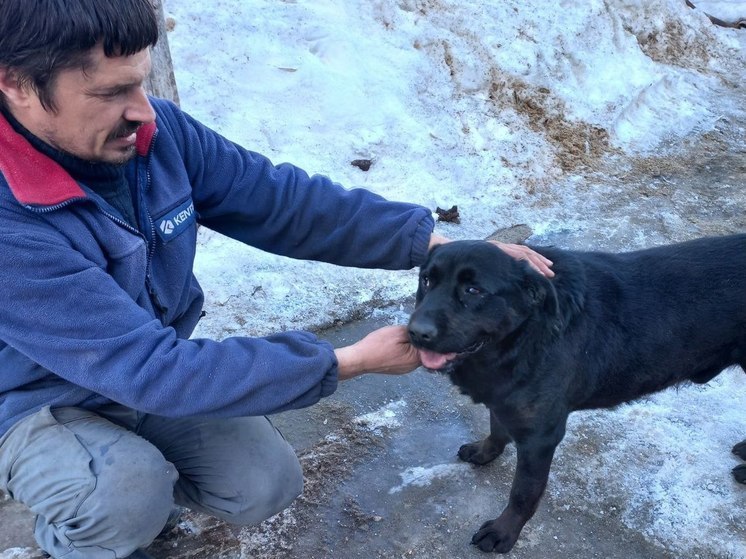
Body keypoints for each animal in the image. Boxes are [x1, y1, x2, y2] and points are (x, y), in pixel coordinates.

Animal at [406, 236, 744, 556]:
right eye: (426, 280)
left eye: (474, 290)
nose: (416, 333)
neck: (524, 336)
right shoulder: (505, 398)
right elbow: (496, 427)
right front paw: (486, 450)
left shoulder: (541, 437)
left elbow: (523, 493)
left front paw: (504, 531)